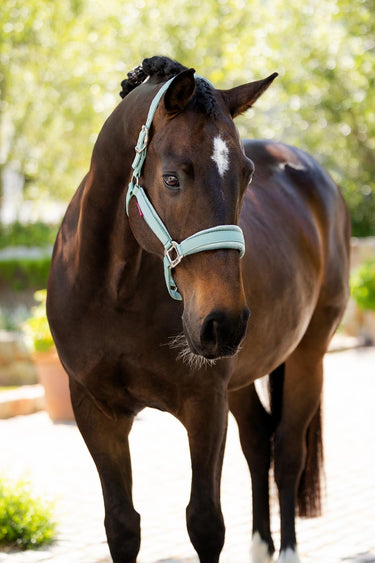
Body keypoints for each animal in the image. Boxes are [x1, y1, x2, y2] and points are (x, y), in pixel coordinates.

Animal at [47, 55, 352, 560]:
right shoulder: (94, 409)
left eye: (246, 175)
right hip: (240, 377)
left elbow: (205, 523)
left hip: (309, 355)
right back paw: (261, 545)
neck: (113, 292)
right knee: (259, 442)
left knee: (288, 450)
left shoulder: (204, 404)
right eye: (171, 177)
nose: (223, 323)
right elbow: (122, 526)